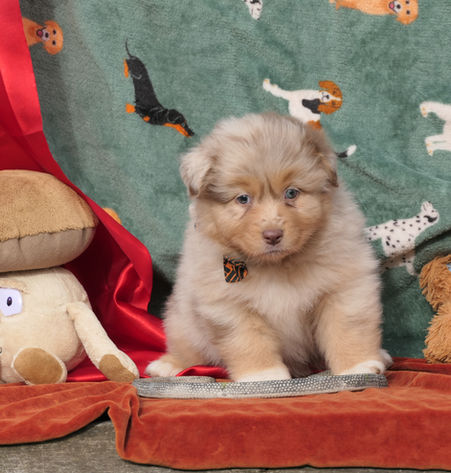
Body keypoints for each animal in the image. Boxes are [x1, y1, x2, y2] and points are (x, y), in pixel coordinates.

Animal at [146, 113, 391, 382]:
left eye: (291, 193)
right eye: (243, 198)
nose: (273, 235)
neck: (276, 266)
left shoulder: (344, 287)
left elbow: (347, 328)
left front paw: (356, 366)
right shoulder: (228, 305)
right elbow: (250, 341)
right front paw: (263, 376)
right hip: (183, 320)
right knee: (185, 346)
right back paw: (169, 364)